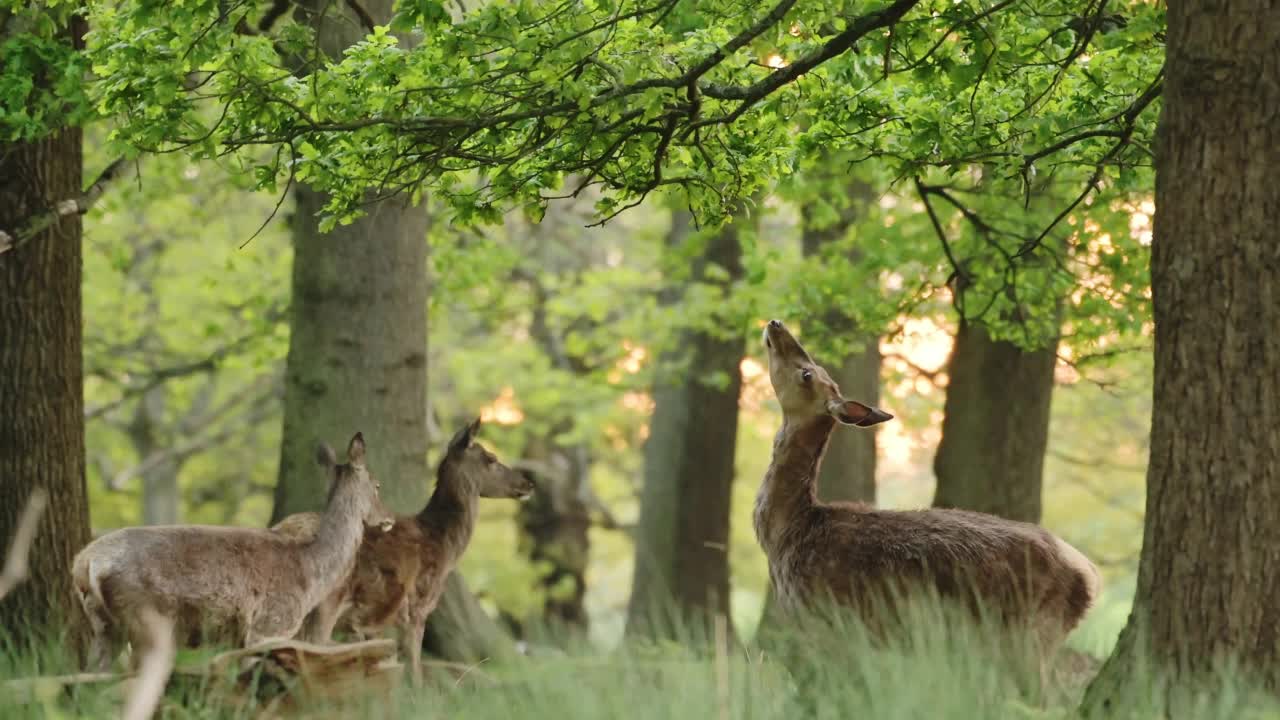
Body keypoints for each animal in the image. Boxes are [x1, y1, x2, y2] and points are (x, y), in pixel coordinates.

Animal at [68, 427, 389, 671]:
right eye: (377, 485)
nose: (388, 519)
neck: (311, 570)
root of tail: (85, 564)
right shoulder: (268, 626)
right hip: (143, 617)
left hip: (104, 626)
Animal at [272, 415, 532, 676]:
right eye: (491, 458)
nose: (528, 483)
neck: (442, 543)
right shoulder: (417, 609)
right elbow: (413, 671)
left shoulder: (373, 624)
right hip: (325, 601)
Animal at [757, 319, 1100, 666]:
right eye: (817, 369)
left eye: (808, 374)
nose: (775, 324)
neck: (789, 533)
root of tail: (1090, 576)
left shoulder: (825, 618)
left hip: (1030, 633)